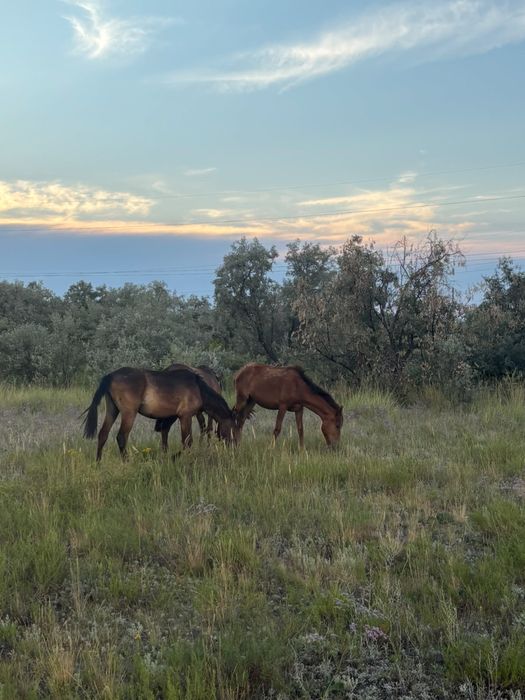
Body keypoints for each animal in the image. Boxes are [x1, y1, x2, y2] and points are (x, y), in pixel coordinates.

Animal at [82, 367, 236, 461]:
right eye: (232, 428)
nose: (232, 446)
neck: (199, 388)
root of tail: (110, 376)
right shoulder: (185, 416)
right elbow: (187, 442)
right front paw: (176, 457)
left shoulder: (170, 417)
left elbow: (165, 437)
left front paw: (166, 456)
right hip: (128, 413)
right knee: (121, 437)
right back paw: (126, 461)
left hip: (112, 410)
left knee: (103, 434)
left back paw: (98, 462)